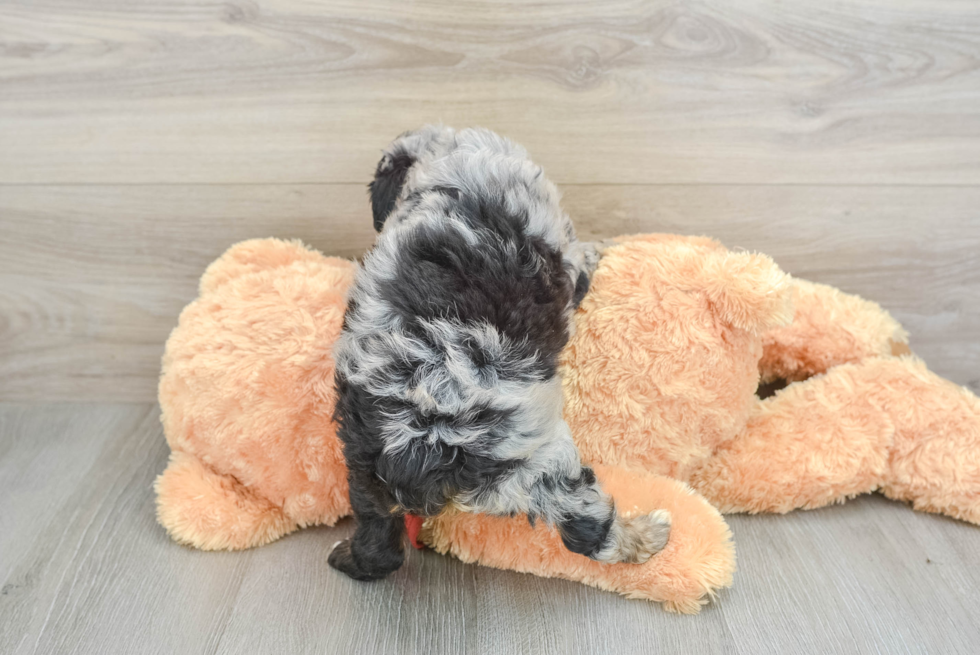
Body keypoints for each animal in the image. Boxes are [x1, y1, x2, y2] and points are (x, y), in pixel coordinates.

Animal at [326, 125, 668, 580]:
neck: (448, 155)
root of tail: (424, 441)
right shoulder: (564, 248)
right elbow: (581, 260)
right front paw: (601, 249)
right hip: (541, 460)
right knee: (589, 530)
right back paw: (647, 537)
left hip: (365, 471)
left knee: (378, 541)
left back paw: (349, 557)